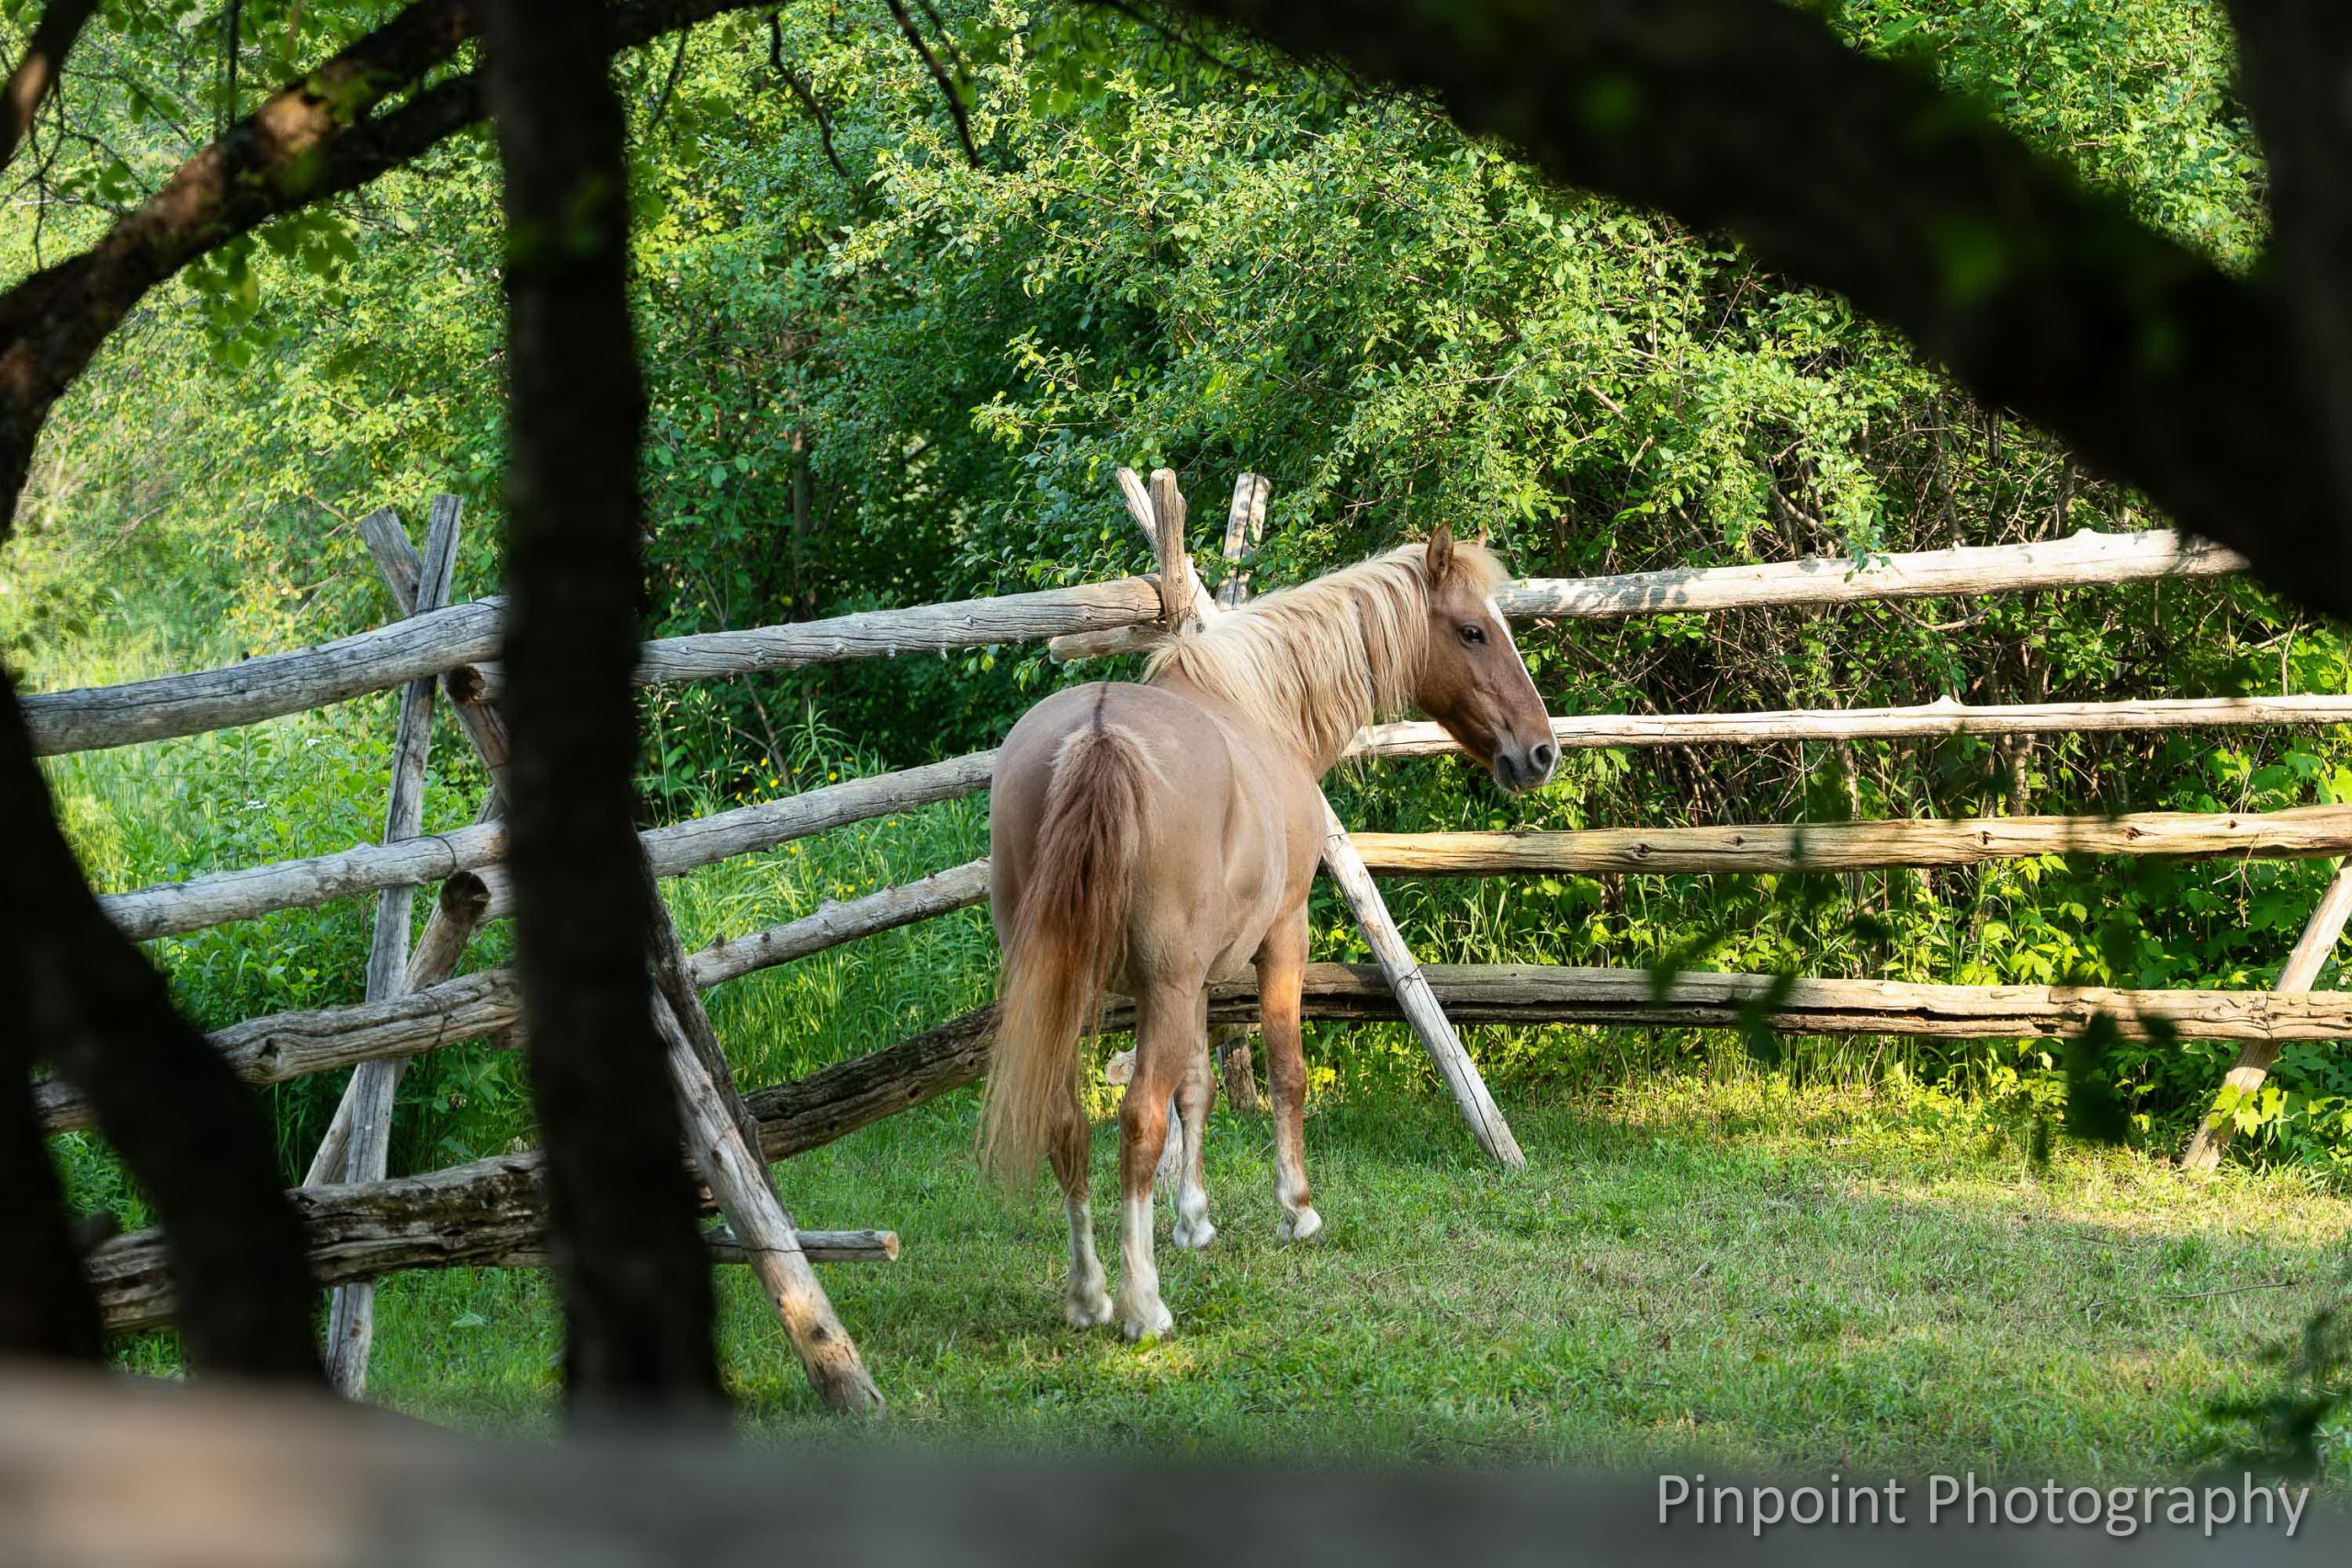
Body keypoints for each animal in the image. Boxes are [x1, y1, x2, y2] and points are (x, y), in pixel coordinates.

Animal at [978, 526, 1552, 1335]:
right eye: (1473, 631)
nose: (1541, 751)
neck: (1258, 707)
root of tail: (1097, 734)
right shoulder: (1282, 936)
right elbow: (1285, 1070)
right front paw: (1297, 1209)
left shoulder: (1191, 981)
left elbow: (1197, 1086)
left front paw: (1194, 1219)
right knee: (1136, 1118)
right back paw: (1143, 1303)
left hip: (1061, 983)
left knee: (1068, 1119)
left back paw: (1089, 1293)